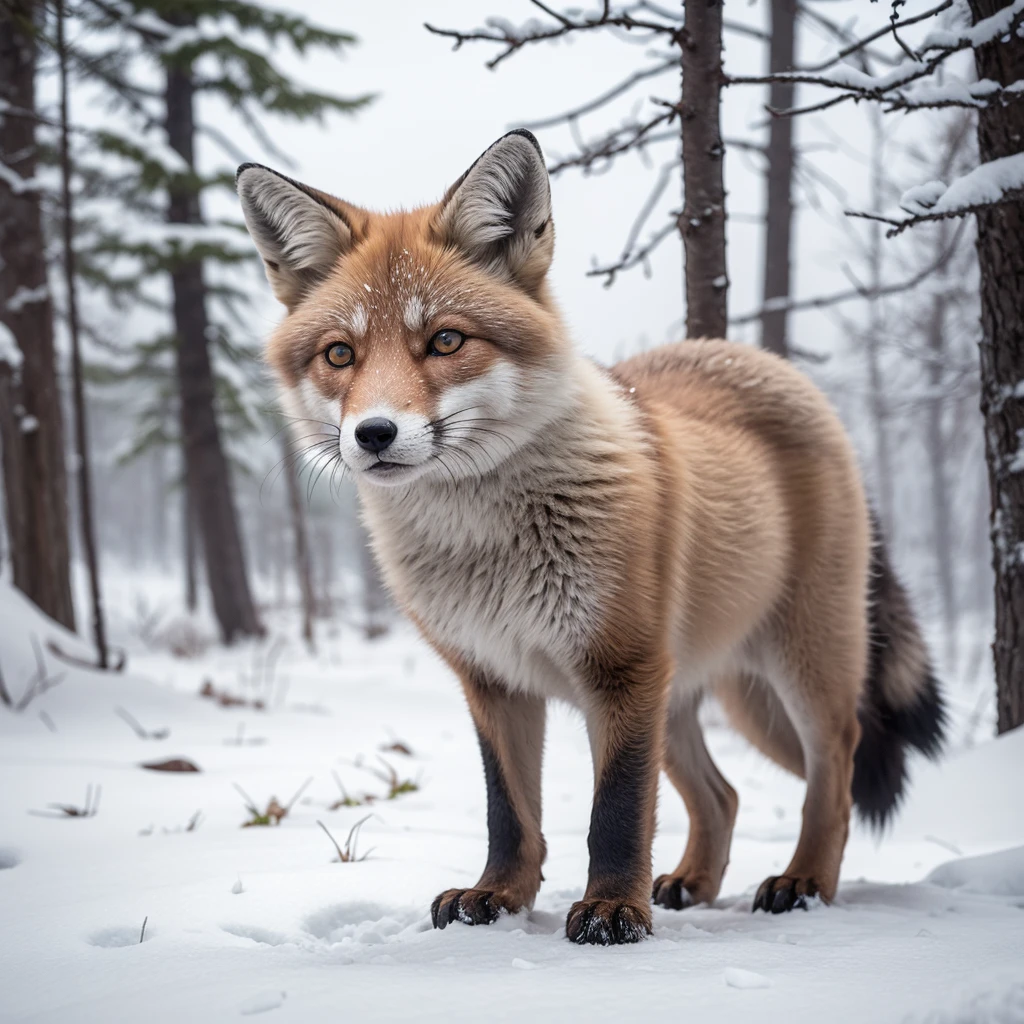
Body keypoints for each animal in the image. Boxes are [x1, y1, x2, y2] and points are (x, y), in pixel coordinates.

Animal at [235, 132, 946, 946]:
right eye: (340, 355)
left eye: (445, 341)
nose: (374, 434)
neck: (486, 551)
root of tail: (763, 362)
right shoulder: (495, 679)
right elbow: (510, 814)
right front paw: (497, 896)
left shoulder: (620, 668)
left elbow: (616, 813)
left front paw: (612, 912)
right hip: (690, 694)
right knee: (724, 795)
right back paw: (694, 883)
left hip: (794, 670)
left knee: (837, 771)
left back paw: (803, 882)